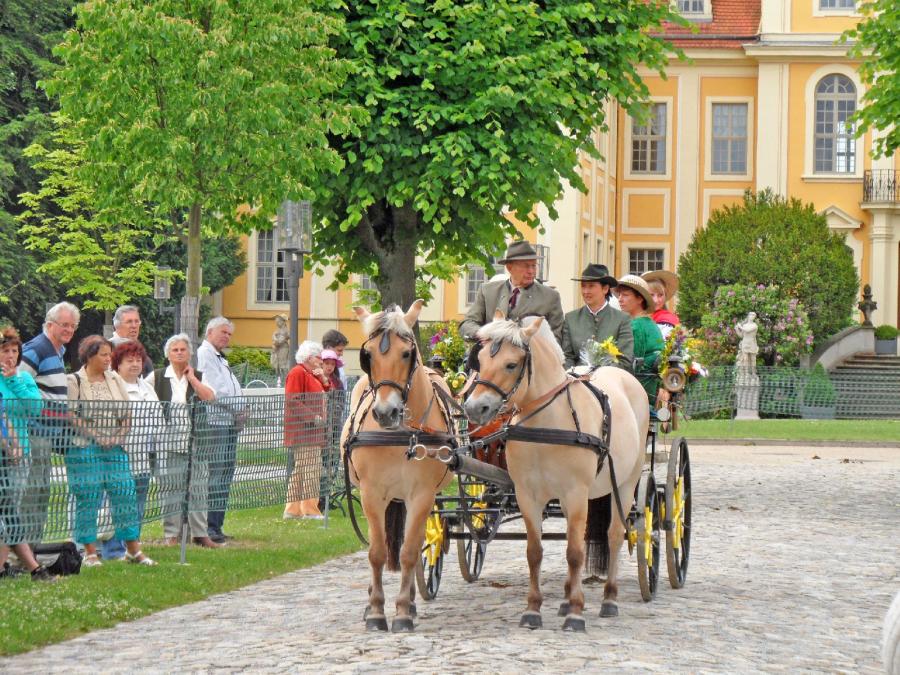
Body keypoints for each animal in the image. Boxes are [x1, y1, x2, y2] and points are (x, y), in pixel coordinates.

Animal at [344, 302, 458, 632]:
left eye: (407, 353)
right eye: (367, 355)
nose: (386, 412)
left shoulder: (421, 495)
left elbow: (409, 551)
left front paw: (404, 611)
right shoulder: (371, 493)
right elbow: (377, 552)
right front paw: (375, 610)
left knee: (415, 543)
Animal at [464, 314, 648, 632]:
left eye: (511, 364)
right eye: (481, 359)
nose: (474, 408)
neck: (546, 424)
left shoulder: (575, 493)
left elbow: (574, 553)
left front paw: (576, 612)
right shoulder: (528, 495)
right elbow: (535, 552)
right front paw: (533, 610)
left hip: (625, 484)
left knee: (614, 535)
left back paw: (609, 599)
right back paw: (565, 598)